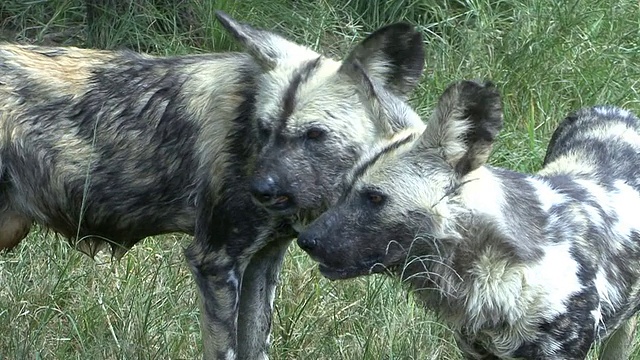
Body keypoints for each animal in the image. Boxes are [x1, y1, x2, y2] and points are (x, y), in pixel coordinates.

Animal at [1, 9, 430, 358]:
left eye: (314, 135)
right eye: (264, 129)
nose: (261, 189)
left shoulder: (261, 263)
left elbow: (254, 347)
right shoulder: (216, 262)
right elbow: (226, 350)